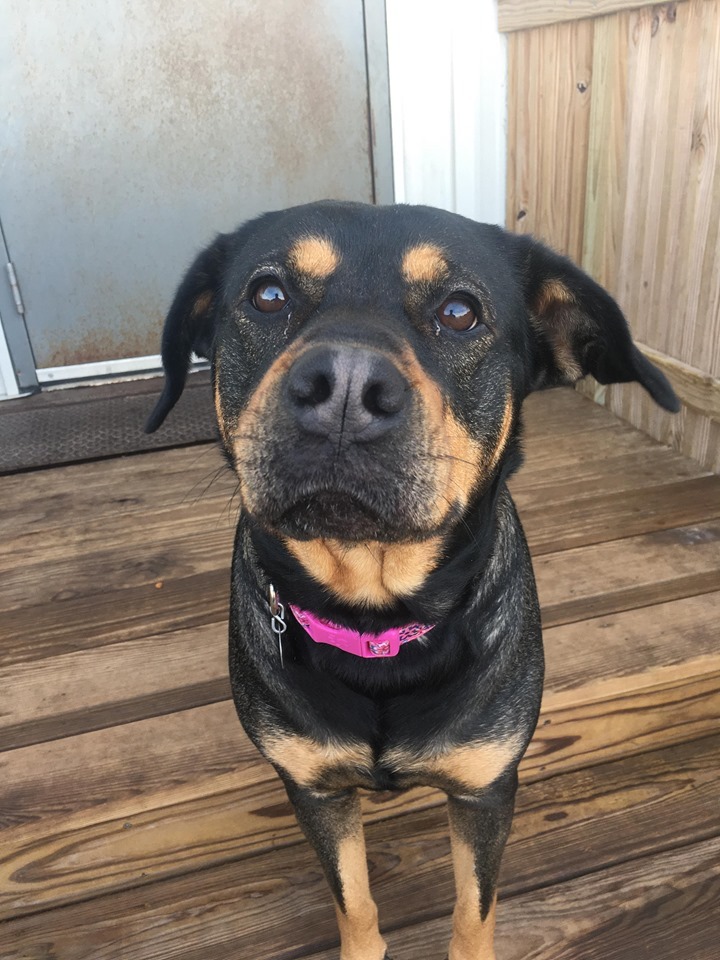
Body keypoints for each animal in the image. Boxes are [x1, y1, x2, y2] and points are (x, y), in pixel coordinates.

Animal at [143, 199, 676, 956]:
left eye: (460, 312)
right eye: (267, 295)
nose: (343, 387)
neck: (376, 616)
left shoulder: (486, 787)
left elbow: (474, 908)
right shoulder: (314, 788)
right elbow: (353, 899)